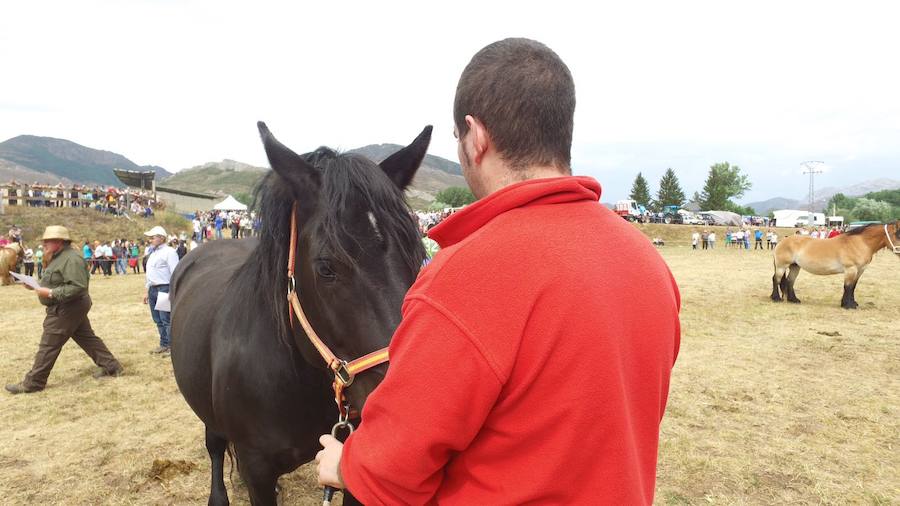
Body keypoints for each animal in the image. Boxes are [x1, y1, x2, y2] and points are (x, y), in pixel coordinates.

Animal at [768, 220, 900, 308]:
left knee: (790, 281)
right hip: (781, 266)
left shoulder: (860, 270)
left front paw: (852, 303)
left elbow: (853, 286)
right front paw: (848, 305)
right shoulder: (851, 269)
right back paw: (776, 298)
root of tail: (782, 241)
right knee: (776, 279)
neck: (860, 242)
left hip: (795, 266)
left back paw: (793, 300)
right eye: (898, 235)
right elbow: (848, 287)